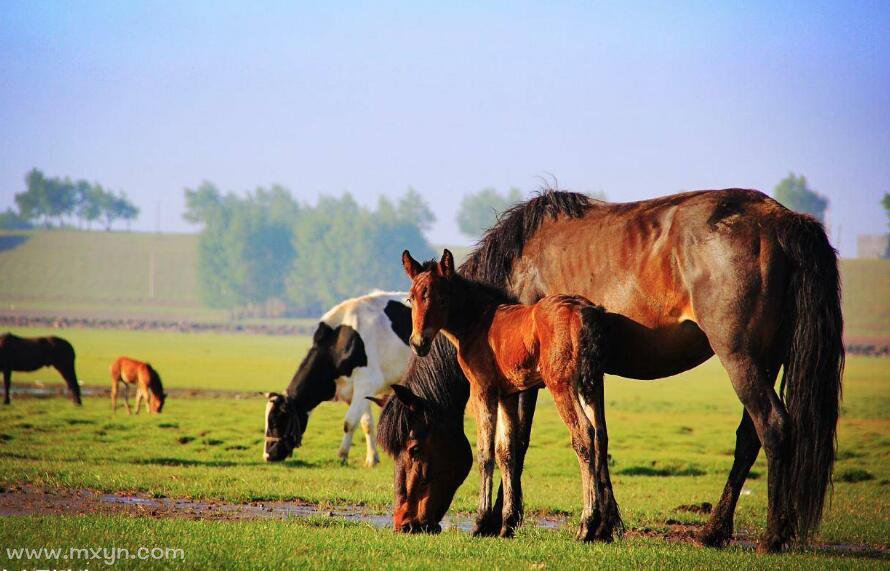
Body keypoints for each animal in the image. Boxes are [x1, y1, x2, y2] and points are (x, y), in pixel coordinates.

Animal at [262, 292, 412, 466]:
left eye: (276, 421)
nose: (267, 456)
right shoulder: (354, 390)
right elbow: (366, 423)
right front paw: (371, 459)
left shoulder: (367, 382)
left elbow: (349, 422)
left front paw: (342, 455)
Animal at [402, 249, 616, 540]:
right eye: (411, 298)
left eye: (441, 297)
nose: (418, 343)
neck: (478, 321)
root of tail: (586, 313)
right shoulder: (508, 395)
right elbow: (507, 452)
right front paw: (506, 523)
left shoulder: (483, 390)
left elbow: (485, 453)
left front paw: (481, 522)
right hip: (592, 383)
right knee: (601, 436)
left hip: (562, 385)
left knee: (584, 434)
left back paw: (586, 525)